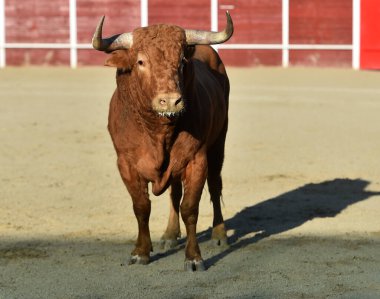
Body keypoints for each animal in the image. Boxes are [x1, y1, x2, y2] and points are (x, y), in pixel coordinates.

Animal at [93, 12, 233, 272]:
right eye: (140, 62)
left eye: (182, 62)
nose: (170, 101)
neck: (158, 132)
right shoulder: (126, 164)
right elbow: (141, 207)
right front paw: (141, 252)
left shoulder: (196, 160)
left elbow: (190, 208)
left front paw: (193, 257)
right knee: (173, 195)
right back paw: (169, 234)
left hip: (219, 143)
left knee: (214, 184)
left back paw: (219, 234)